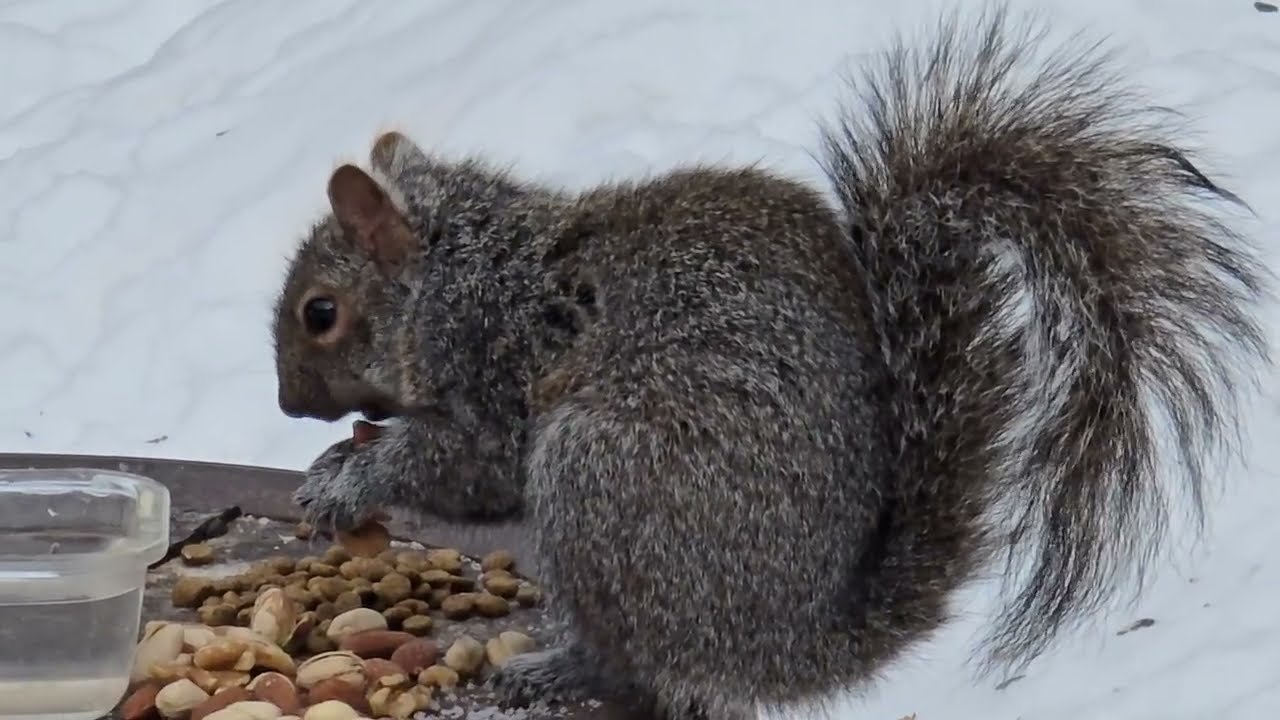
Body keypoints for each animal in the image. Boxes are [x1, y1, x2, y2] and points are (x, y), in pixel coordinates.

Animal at [271, 6, 1269, 719]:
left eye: (321, 314)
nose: (285, 406)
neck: (458, 268)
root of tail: (792, 648)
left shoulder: (492, 359)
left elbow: (467, 465)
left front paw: (345, 482)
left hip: (600, 478)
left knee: (634, 668)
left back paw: (556, 669)